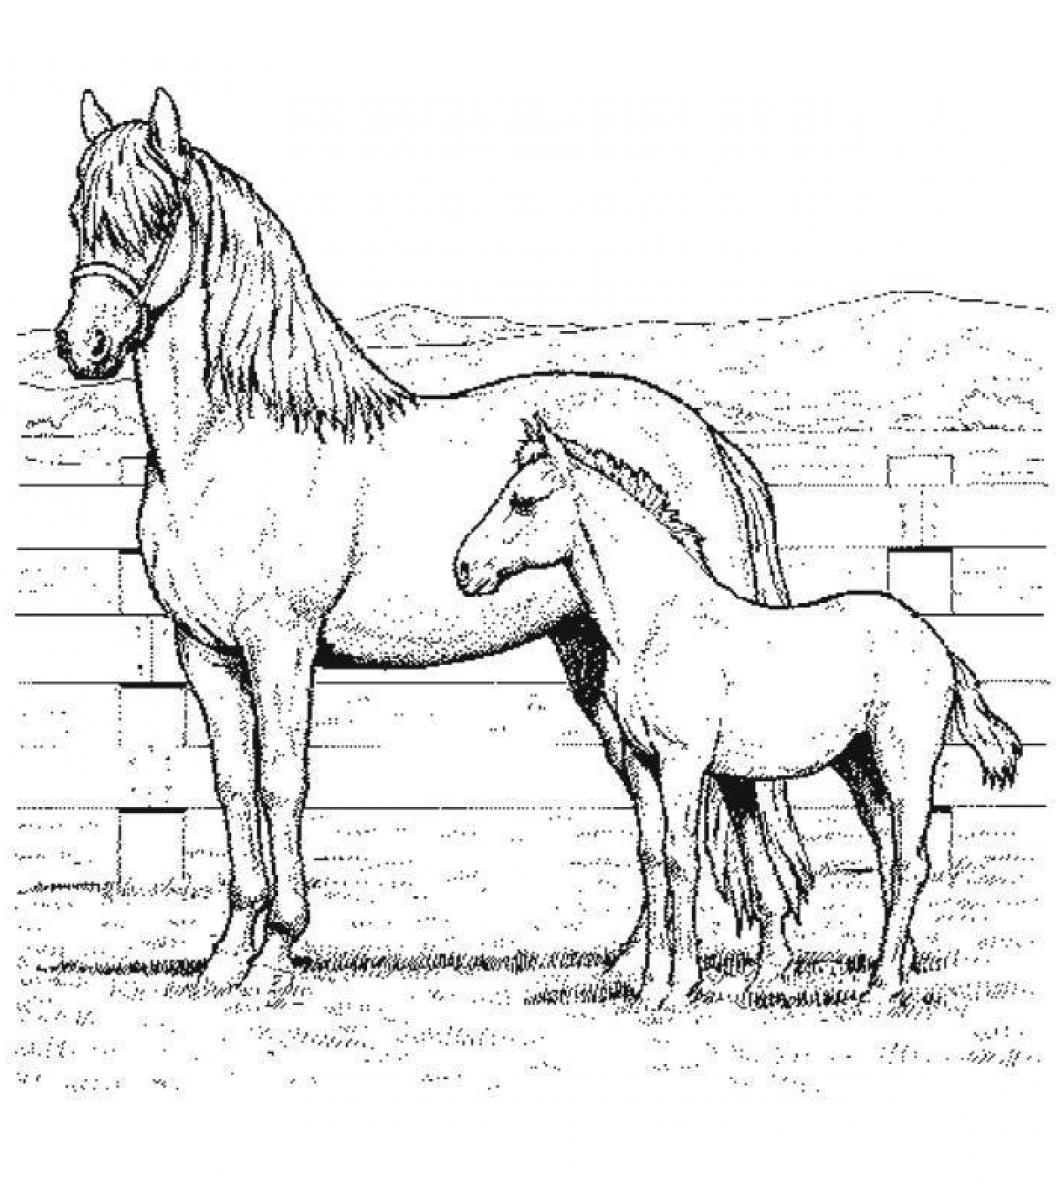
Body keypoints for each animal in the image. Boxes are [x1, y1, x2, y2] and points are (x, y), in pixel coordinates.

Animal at [54, 87, 813, 993]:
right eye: (77, 214)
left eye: (158, 214)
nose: (83, 345)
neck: (232, 445)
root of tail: (713, 442)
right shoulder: (204, 651)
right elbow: (233, 787)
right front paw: (226, 957)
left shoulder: (281, 645)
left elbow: (281, 783)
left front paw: (276, 951)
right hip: (593, 654)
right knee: (650, 796)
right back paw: (639, 963)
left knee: (735, 789)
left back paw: (762, 960)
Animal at [455, 418, 1022, 1005]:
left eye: (525, 500)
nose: (465, 569)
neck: (657, 624)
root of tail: (935, 641)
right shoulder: (643, 761)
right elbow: (652, 857)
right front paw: (650, 987)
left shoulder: (683, 763)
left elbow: (681, 858)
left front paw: (678, 987)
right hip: (860, 766)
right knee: (889, 856)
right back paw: (881, 976)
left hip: (904, 763)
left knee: (911, 861)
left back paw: (882, 987)